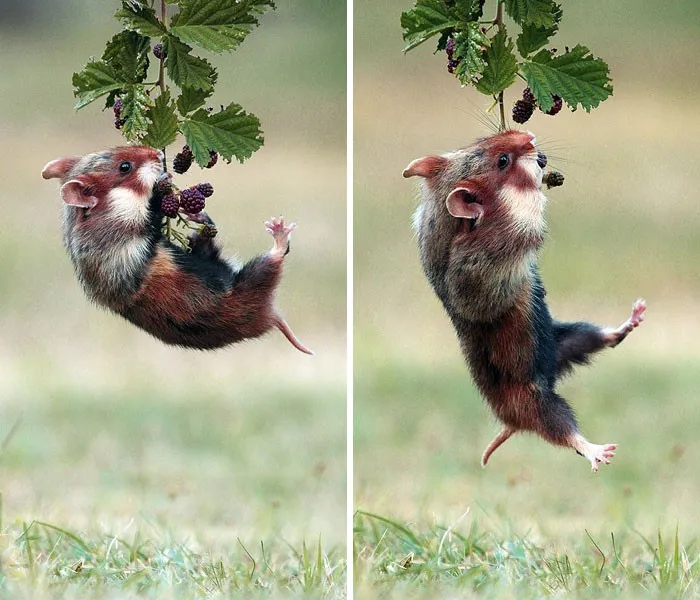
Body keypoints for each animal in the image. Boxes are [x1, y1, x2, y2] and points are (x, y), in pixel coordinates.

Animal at [42, 145, 312, 354]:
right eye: (125, 167)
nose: (158, 153)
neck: (104, 213)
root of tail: (271, 316)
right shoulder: (130, 232)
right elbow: (154, 211)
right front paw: (162, 183)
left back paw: (198, 219)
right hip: (252, 280)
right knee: (275, 258)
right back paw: (279, 231)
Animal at [404, 130, 645, 471]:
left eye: (483, 139)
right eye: (502, 161)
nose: (528, 135)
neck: (448, 223)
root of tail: (510, 423)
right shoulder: (485, 258)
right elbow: (525, 220)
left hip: (563, 339)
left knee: (601, 338)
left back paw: (634, 317)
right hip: (537, 403)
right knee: (563, 432)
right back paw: (599, 452)